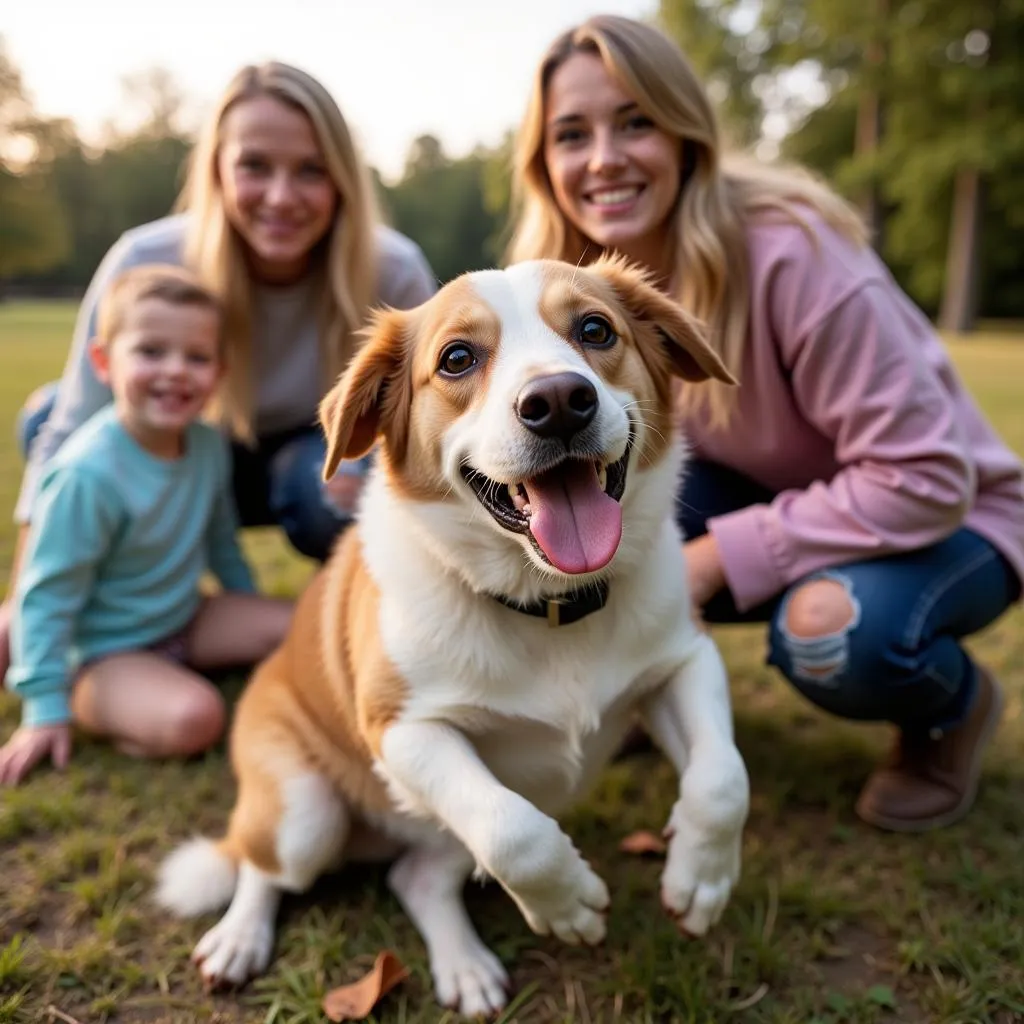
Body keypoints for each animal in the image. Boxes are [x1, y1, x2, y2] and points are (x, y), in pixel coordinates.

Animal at [153, 256, 753, 1015]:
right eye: (458, 358)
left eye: (595, 329)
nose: (559, 401)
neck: (546, 603)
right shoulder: (403, 730)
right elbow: (513, 831)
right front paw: (568, 904)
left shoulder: (683, 661)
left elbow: (722, 779)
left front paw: (700, 877)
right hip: (303, 816)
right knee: (265, 868)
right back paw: (239, 939)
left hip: (430, 834)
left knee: (417, 878)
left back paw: (465, 966)